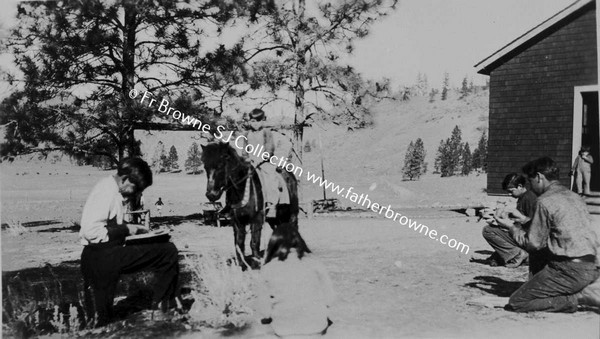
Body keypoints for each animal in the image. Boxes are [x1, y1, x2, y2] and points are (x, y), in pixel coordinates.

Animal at [200, 142, 298, 270]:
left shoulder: (257, 219)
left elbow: (254, 243)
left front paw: (257, 263)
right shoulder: (237, 222)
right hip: (275, 218)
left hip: (292, 213)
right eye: (205, 167)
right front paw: (242, 265)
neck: (242, 189)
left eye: (220, 165)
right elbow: (239, 244)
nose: (211, 195)